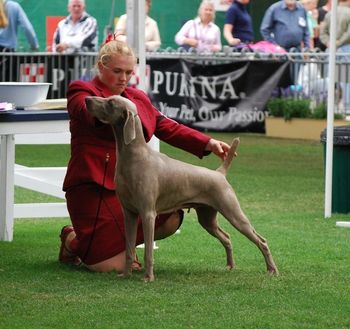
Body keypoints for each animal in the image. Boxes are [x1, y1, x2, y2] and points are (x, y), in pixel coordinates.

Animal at [85, 95, 278, 282]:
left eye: (111, 102)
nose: (87, 99)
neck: (134, 158)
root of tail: (219, 173)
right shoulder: (130, 214)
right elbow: (130, 250)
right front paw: (126, 274)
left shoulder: (148, 214)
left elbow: (148, 252)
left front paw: (148, 278)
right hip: (207, 218)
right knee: (227, 237)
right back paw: (230, 266)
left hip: (233, 213)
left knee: (261, 240)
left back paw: (272, 270)